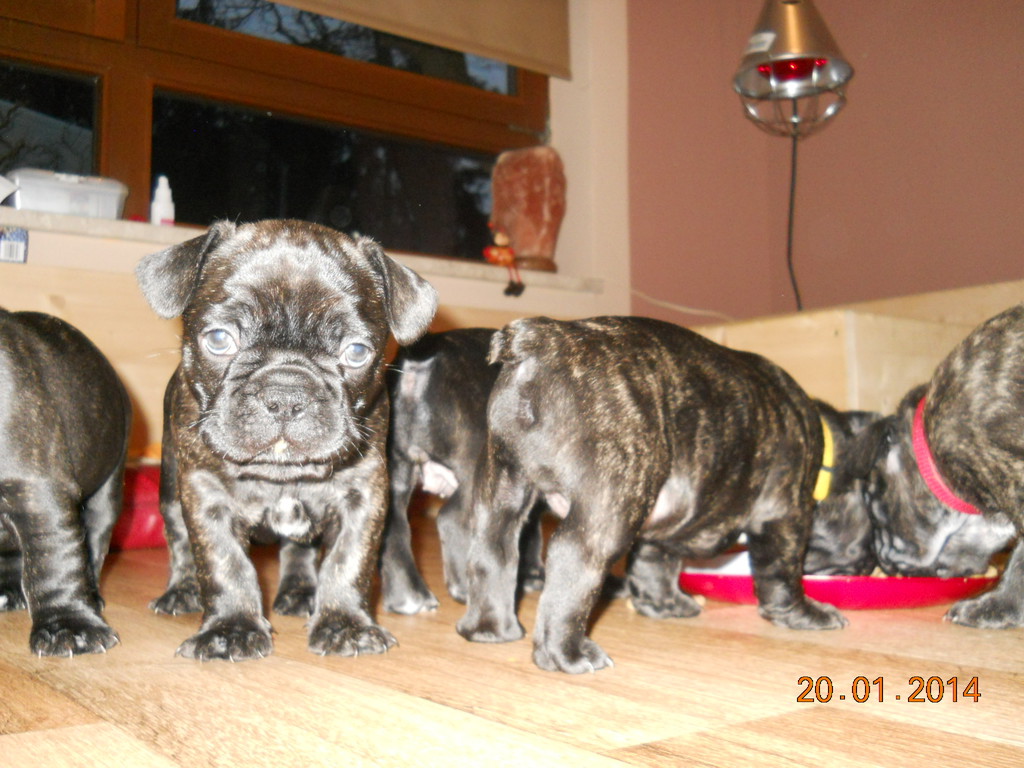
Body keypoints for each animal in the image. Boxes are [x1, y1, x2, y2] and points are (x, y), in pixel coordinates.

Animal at [135, 219, 437, 660]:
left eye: (356, 351)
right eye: (219, 339)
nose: (286, 395)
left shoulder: (363, 494)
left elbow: (348, 560)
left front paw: (345, 624)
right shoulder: (207, 495)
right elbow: (223, 562)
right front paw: (230, 629)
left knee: (299, 548)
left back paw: (299, 594)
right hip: (172, 487)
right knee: (179, 539)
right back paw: (182, 591)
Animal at [382, 328, 545, 614]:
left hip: (398, 472)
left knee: (396, 525)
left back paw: (409, 596)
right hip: (476, 471)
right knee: (451, 518)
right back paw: (470, 589)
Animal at [455, 315, 847, 674]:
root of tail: (545, 338)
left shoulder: (665, 513)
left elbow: (654, 560)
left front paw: (664, 604)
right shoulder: (784, 513)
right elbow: (781, 572)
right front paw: (803, 614)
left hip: (503, 487)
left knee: (493, 552)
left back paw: (490, 629)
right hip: (609, 508)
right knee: (573, 561)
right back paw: (566, 653)